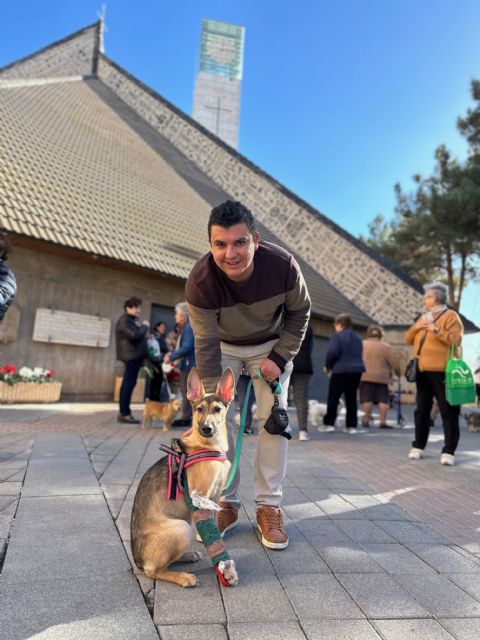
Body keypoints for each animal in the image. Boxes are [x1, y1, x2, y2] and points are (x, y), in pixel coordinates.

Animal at [130, 368, 237, 588]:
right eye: (199, 409)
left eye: (217, 410)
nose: (206, 429)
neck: (207, 446)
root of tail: (137, 562)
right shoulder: (200, 498)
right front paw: (224, 567)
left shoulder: (215, 498)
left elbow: (213, 529)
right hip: (182, 527)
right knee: (154, 571)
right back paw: (183, 577)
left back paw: (188, 556)